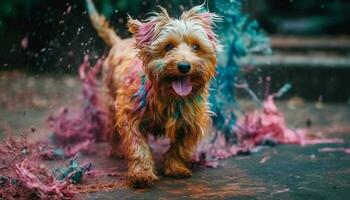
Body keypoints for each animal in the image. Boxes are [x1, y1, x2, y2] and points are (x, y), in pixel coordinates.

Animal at [86, 0, 220, 188]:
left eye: (196, 46)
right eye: (168, 46)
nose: (184, 66)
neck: (170, 97)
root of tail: (120, 42)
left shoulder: (192, 120)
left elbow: (181, 147)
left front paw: (176, 167)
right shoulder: (130, 115)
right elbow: (138, 147)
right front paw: (141, 174)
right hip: (111, 102)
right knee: (112, 129)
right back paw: (116, 149)